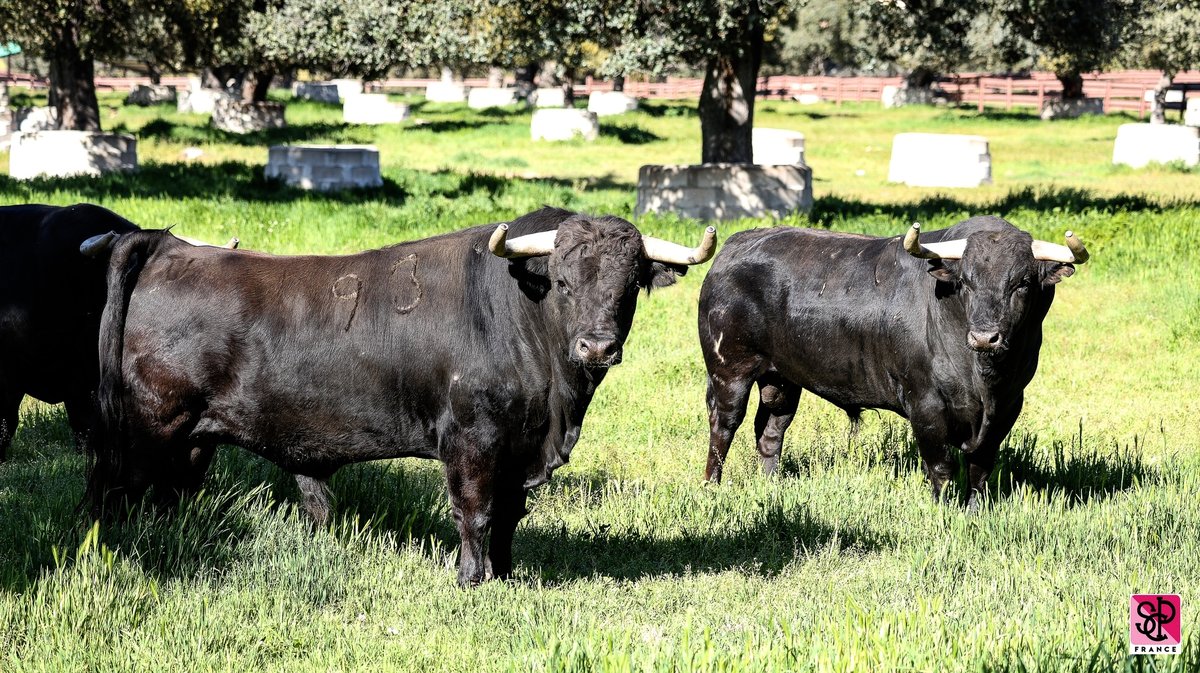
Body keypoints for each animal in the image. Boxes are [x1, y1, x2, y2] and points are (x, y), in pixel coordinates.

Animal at [88, 207, 715, 585]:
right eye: (562, 281)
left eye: (630, 286)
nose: (598, 346)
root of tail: (168, 247)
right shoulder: (471, 440)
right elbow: (476, 511)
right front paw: (470, 579)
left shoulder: (517, 448)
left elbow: (509, 515)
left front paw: (505, 574)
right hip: (149, 425)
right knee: (116, 486)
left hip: (192, 438)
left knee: (171, 491)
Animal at [700, 212, 1089, 506]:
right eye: (965, 282)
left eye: (1022, 283)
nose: (984, 337)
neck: (983, 379)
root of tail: (733, 248)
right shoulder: (925, 404)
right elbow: (941, 468)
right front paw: (944, 511)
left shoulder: (1008, 405)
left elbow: (980, 468)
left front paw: (975, 511)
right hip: (728, 371)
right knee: (723, 426)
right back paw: (711, 486)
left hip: (781, 378)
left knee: (770, 430)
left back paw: (772, 484)